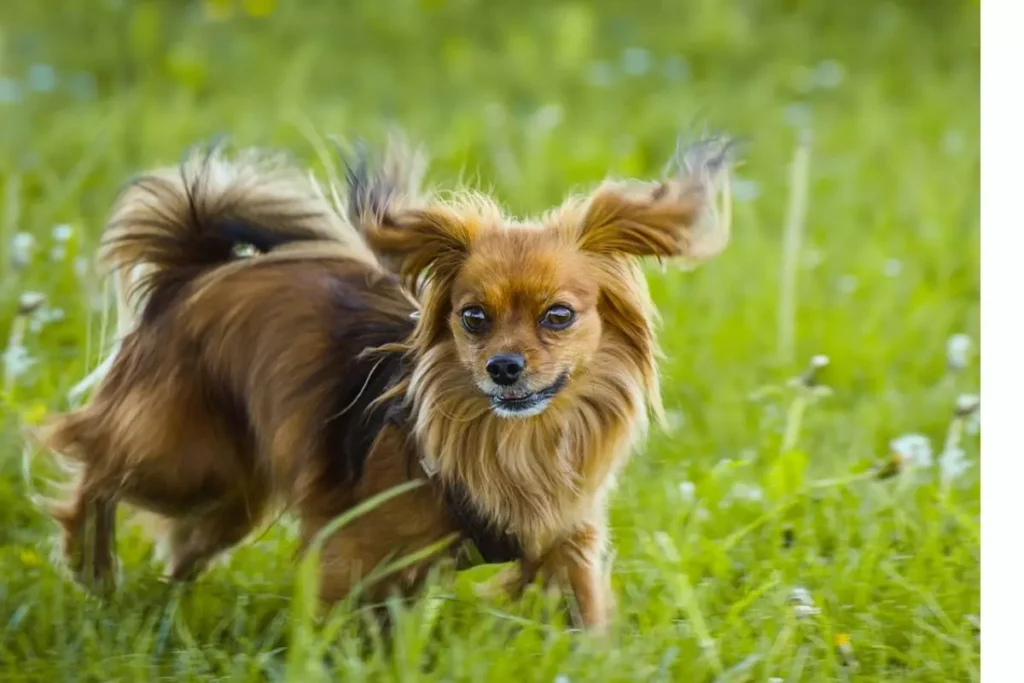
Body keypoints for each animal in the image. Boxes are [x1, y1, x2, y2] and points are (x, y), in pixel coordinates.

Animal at [36, 136, 733, 634]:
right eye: (473, 318)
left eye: (558, 316)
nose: (503, 367)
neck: (513, 443)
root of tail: (194, 271)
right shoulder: (349, 545)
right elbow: (331, 620)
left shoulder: (570, 542)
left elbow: (587, 616)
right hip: (184, 463)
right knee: (92, 465)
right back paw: (92, 565)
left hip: (232, 494)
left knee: (185, 544)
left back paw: (161, 602)